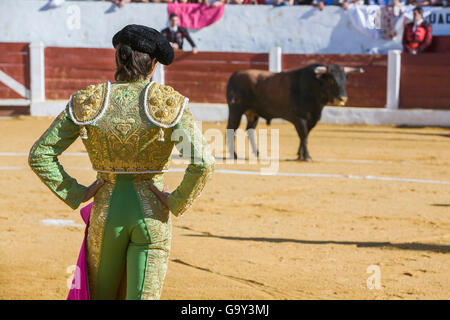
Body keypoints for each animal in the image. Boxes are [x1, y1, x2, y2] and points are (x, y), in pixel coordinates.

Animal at [227, 63, 364, 161]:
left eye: (345, 79)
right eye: (331, 80)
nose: (342, 98)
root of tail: (234, 75)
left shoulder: (312, 119)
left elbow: (305, 135)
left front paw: (300, 155)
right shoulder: (300, 118)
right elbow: (303, 135)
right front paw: (307, 156)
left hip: (253, 113)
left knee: (250, 130)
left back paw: (257, 154)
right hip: (236, 110)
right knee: (231, 129)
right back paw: (233, 155)